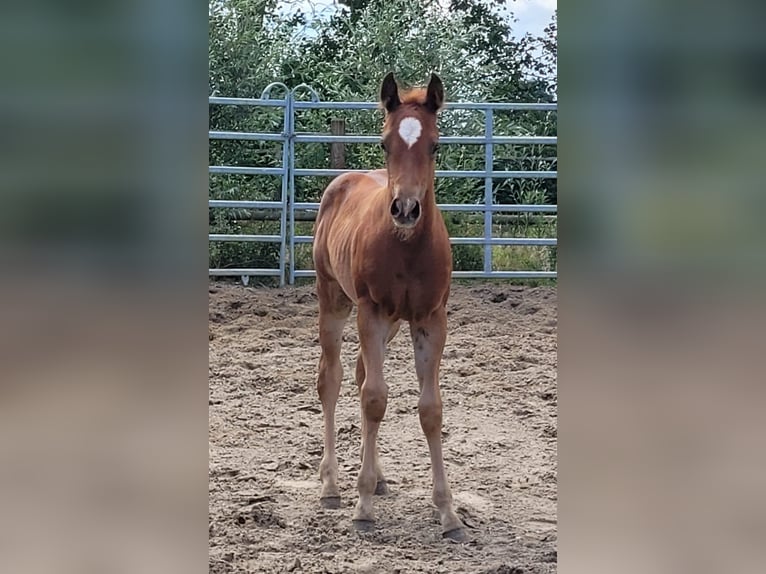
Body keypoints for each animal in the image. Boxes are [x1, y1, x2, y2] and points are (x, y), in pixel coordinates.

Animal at [312, 72, 464, 540]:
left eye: (435, 145)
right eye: (384, 143)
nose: (406, 209)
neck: (408, 248)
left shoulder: (430, 320)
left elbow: (430, 409)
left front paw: (448, 513)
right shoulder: (372, 311)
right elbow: (375, 399)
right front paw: (362, 508)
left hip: (392, 324)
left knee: (361, 374)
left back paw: (377, 477)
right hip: (334, 300)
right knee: (332, 379)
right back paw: (331, 485)